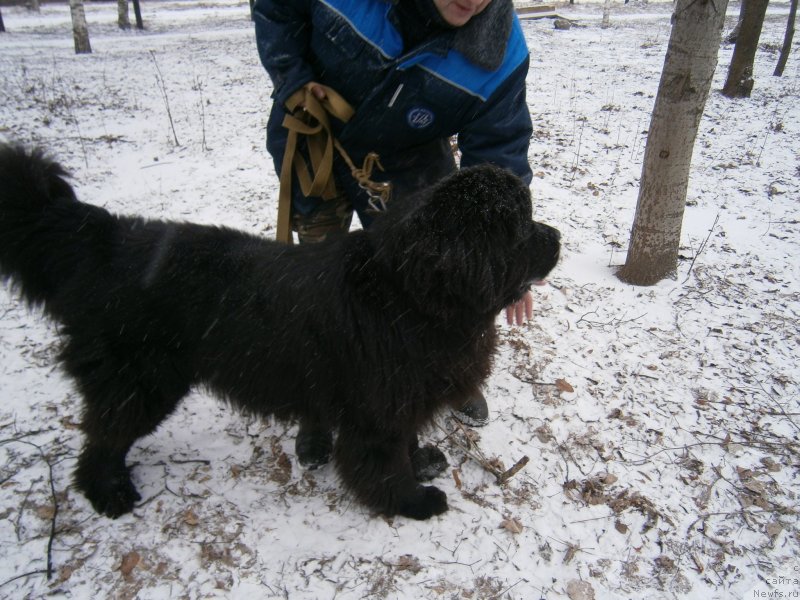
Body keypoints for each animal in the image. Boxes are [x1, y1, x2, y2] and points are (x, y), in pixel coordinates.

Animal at [0, 144, 560, 520]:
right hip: (141, 383)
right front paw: (412, 501)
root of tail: (105, 238)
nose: (557, 236)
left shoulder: (403, 399)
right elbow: (384, 462)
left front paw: (422, 461)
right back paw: (109, 494)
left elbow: (407, 441)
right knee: (102, 441)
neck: (411, 295)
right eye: (522, 227)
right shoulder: (375, 412)